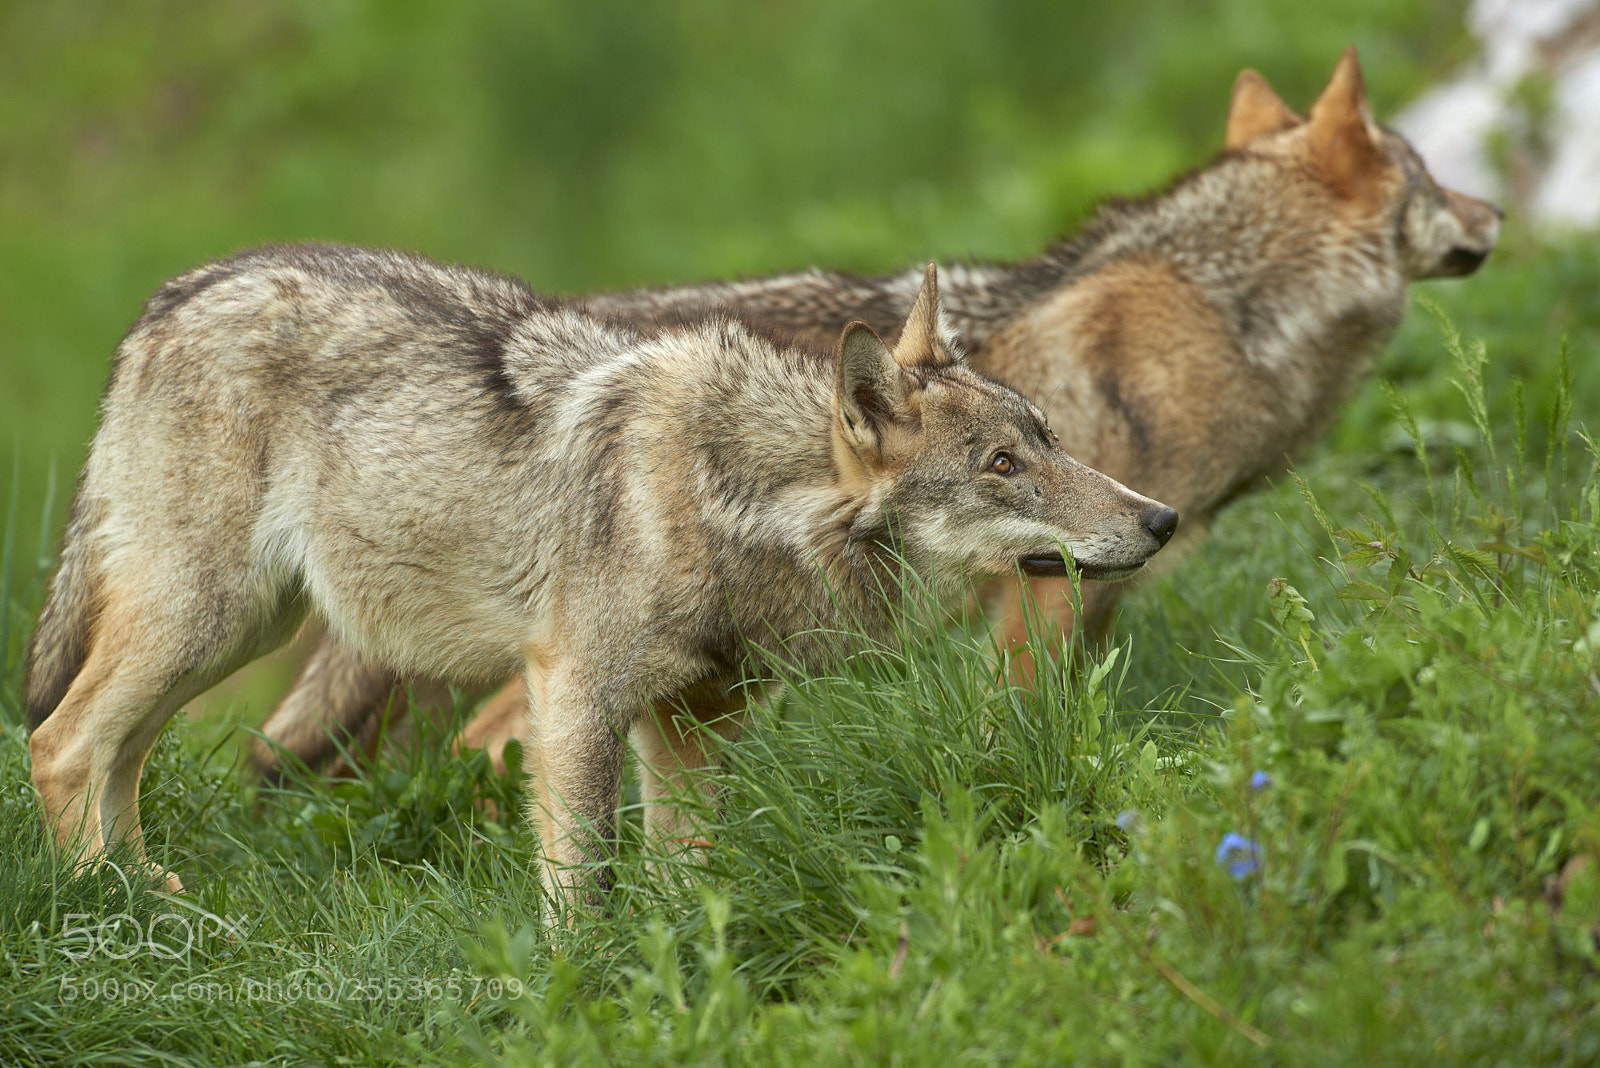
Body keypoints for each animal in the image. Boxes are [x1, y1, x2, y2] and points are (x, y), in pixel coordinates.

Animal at [24, 251, 1175, 900]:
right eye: (1003, 465)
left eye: (1048, 440)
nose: (1160, 519)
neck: (731, 495)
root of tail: (169, 298)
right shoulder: (573, 699)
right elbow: (584, 888)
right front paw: (577, 998)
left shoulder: (695, 724)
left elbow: (682, 880)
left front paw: (681, 980)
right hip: (209, 619)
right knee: (61, 742)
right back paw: (114, 913)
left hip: (235, 632)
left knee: (117, 752)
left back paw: (155, 895)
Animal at [253, 46, 1499, 779]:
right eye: (1433, 173)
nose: (1493, 211)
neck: (1225, 313)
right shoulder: (1042, 596)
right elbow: (1023, 724)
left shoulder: (1102, 585)